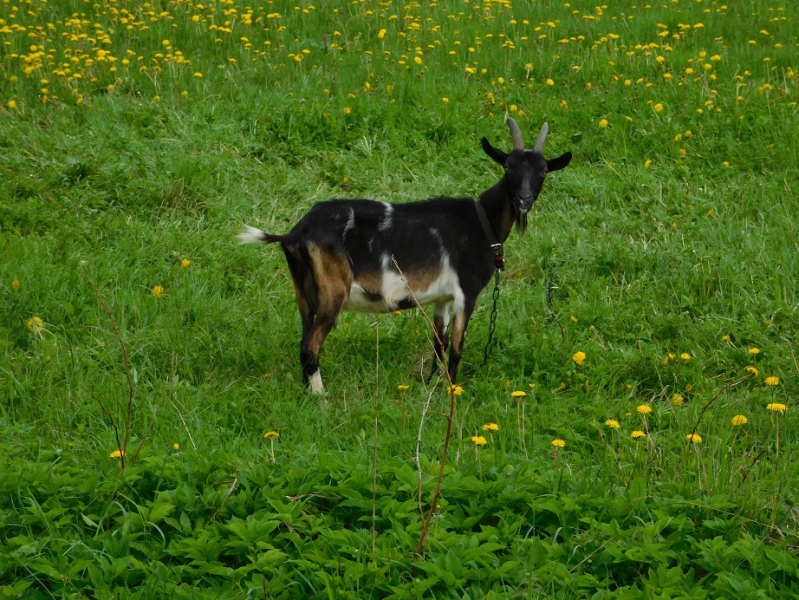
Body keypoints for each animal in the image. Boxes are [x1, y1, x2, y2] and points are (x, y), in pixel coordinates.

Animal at [241, 119, 572, 396]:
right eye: (508, 168)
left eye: (542, 171)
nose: (524, 200)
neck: (481, 223)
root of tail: (296, 233)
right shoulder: (466, 292)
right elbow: (457, 347)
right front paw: (451, 390)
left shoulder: (442, 299)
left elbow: (439, 344)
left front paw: (433, 384)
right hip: (332, 290)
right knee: (311, 347)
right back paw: (321, 399)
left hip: (304, 291)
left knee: (303, 342)